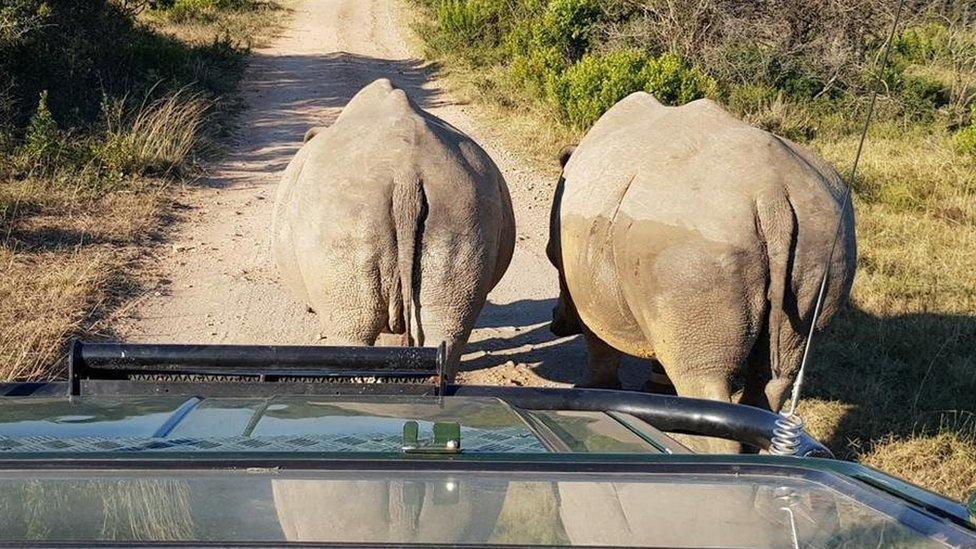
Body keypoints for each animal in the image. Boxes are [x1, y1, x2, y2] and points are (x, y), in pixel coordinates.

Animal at [272, 78, 516, 376]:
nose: (308, 310)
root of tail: (406, 174)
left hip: (342, 215)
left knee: (351, 335)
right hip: (466, 204)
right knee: (446, 328)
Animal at [548, 93, 856, 436]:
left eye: (549, 257)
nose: (555, 325)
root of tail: (773, 197)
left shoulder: (590, 283)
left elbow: (598, 339)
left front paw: (593, 389)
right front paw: (657, 394)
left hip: (693, 247)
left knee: (705, 377)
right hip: (825, 237)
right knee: (777, 375)